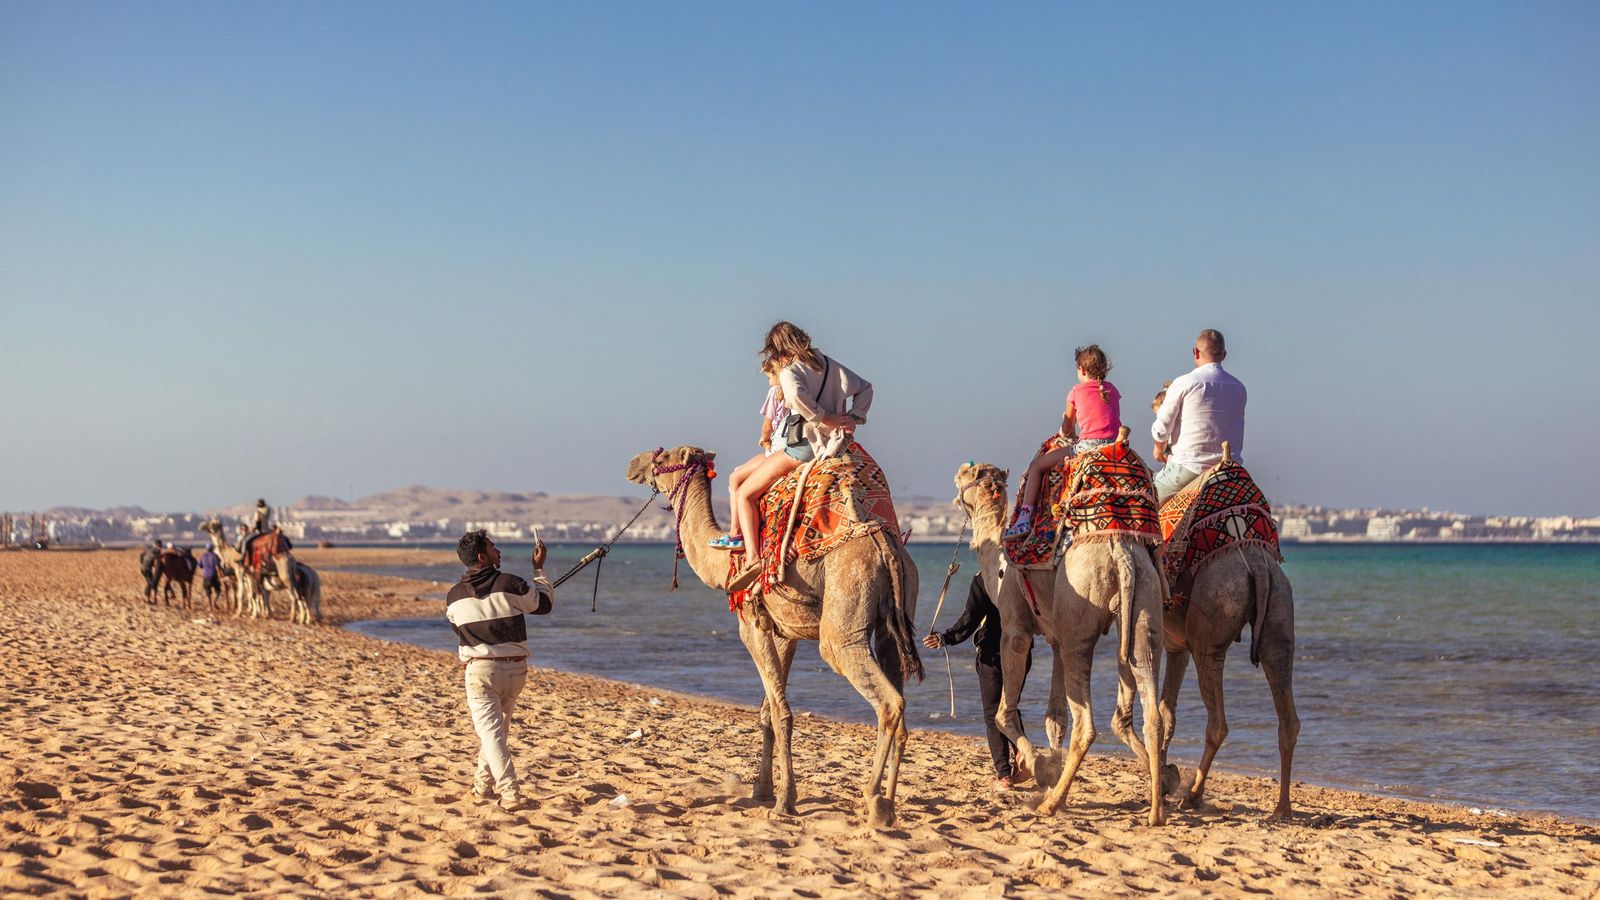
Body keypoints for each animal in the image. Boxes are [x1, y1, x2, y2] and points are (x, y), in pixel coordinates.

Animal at [625, 446, 922, 828]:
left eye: (663, 459)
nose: (634, 463)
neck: (725, 566)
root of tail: (883, 541)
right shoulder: (785, 632)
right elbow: (767, 711)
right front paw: (761, 790)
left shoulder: (752, 626)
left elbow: (782, 713)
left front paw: (784, 801)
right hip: (897, 612)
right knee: (898, 691)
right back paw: (889, 805)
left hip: (845, 611)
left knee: (885, 699)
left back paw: (874, 800)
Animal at [1157, 450, 1300, 820]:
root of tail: (1256, 562)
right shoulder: (1175, 646)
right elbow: (1166, 710)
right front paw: (1163, 778)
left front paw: (1163, 780)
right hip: (1279, 613)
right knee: (1288, 718)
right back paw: (1282, 808)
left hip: (1210, 631)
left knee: (1218, 722)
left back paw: (1193, 796)